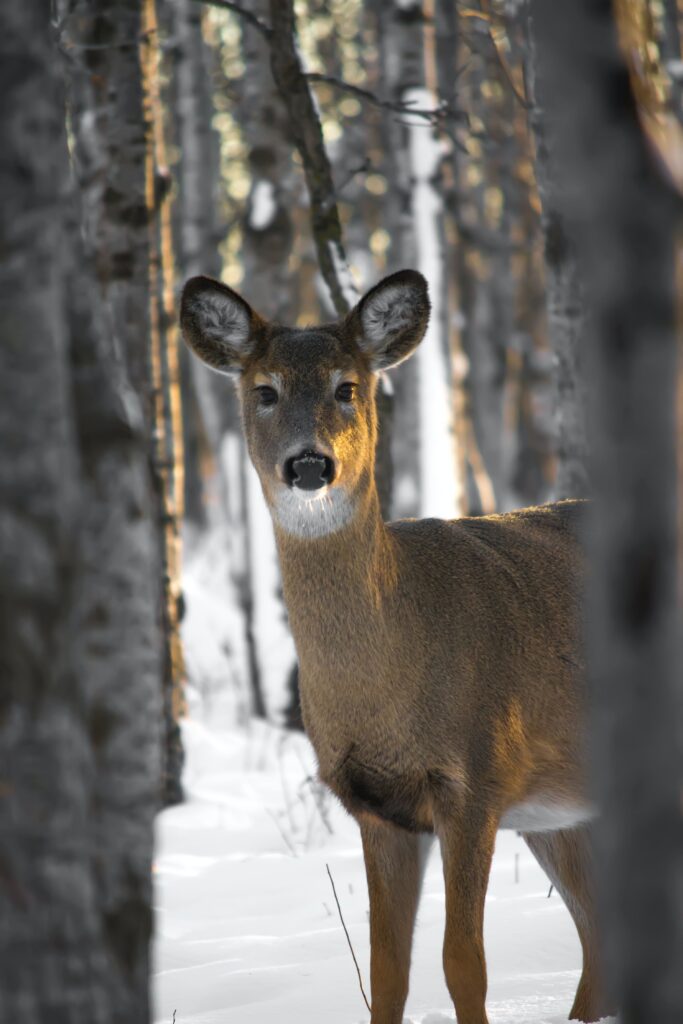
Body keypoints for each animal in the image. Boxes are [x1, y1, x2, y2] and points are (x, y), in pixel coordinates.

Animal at [179, 270, 610, 1024]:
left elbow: (462, 961)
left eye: (347, 386)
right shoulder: (376, 807)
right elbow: (385, 970)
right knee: (600, 942)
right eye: (264, 390)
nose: (310, 464)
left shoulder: (475, 776)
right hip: (560, 813)